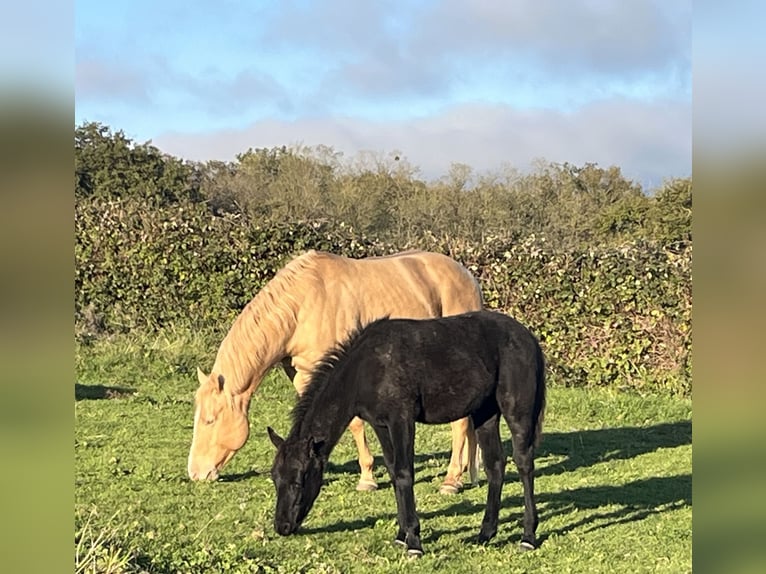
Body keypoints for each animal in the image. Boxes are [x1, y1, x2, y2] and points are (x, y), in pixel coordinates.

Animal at [188, 251, 484, 496]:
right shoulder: (303, 375)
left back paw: (451, 481)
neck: (301, 307)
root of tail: (467, 276)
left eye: (210, 420)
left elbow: (354, 424)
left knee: (460, 422)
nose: (195, 473)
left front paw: (367, 478)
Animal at [270, 310, 544, 560]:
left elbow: (404, 473)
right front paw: (402, 535)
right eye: (275, 478)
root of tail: (528, 337)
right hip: (485, 413)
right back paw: (485, 534)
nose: (282, 526)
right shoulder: (380, 425)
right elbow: (393, 471)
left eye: (300, 480)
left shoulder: (401, 419)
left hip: (516, 410)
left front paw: (414, 542)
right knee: (495, 465)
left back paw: (528, 537)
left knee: (523, 463)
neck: (366, 368)